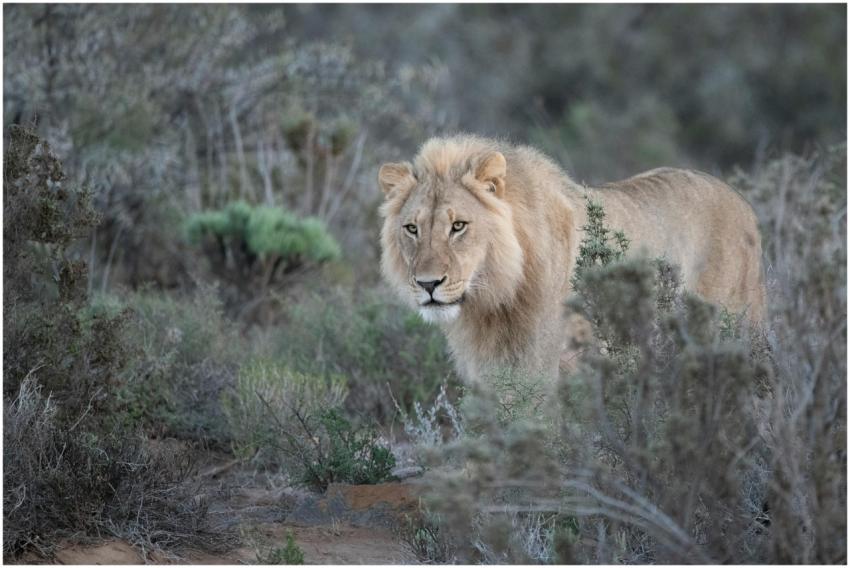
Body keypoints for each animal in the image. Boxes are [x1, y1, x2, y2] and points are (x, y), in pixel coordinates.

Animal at [378, 135, 765, 383]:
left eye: (458, 226)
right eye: (412, 229)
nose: (428, 284)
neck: (494, 301)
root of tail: (742, 201)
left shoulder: (551, 368)